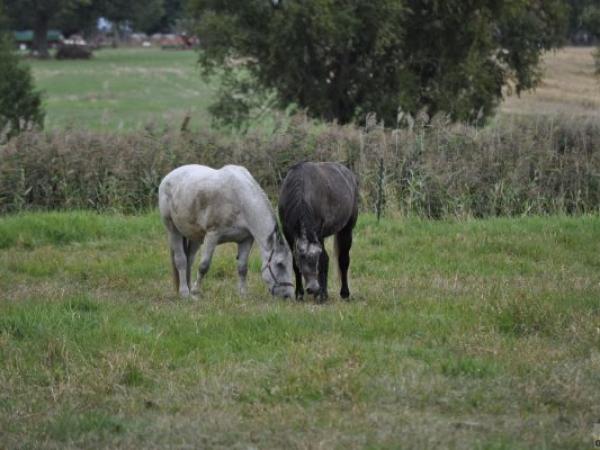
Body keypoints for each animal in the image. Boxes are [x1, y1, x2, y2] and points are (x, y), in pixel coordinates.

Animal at [157, 164, 292, 298]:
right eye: (280, 264)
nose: (287, 296)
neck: (240, 200)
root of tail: (168, 177)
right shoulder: (212, 235)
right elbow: (203, 266)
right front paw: (196, 290)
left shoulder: (246, 239)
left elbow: (242, 267)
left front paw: (243, 294)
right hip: (173, 230)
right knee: (181, 260)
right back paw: (185, 292)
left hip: (195, 236)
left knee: (189, 260)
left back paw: (189, 289)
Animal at [278, 160, 358, 300]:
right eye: (302, 257)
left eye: (315, 258)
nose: (313, 288)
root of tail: (349, 175)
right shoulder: (288, 233)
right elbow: (294, 264)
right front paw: (299, 294)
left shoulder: (318, 234)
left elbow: (323, 261)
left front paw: (321, 295)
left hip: (347, 231)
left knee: (343, 260)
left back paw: (344, 293)